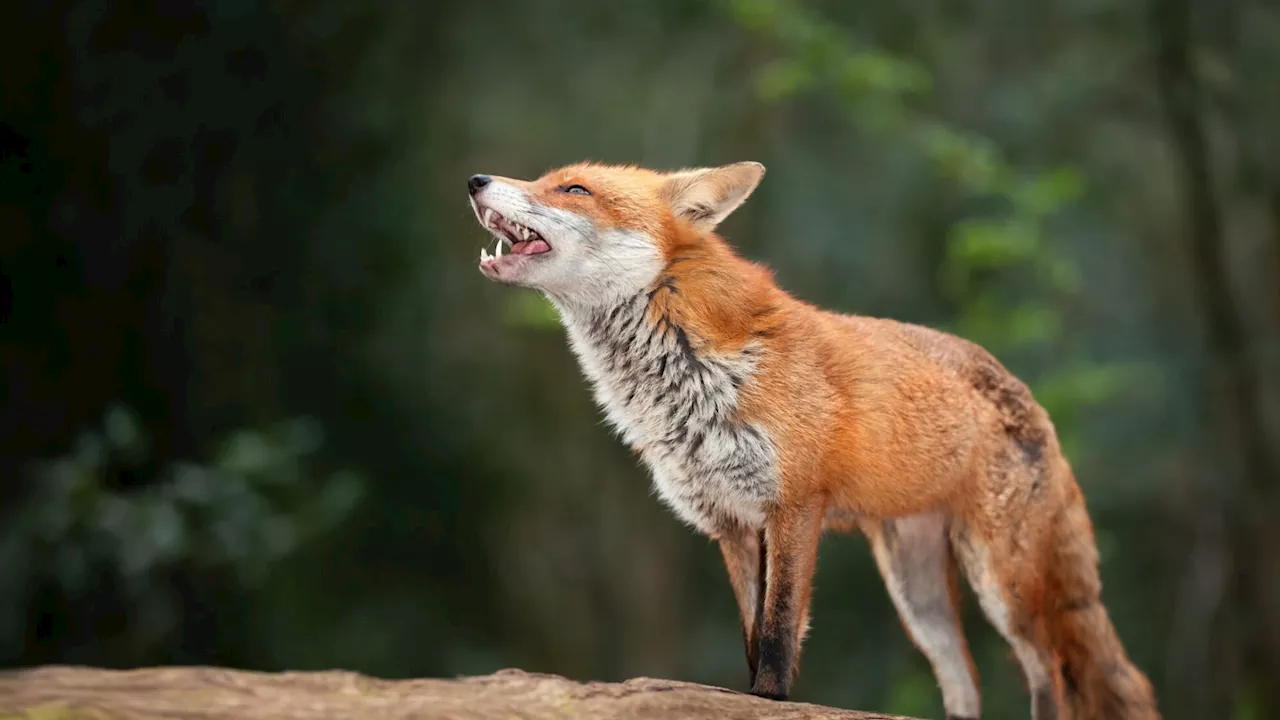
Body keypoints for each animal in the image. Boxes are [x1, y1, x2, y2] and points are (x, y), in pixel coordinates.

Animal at [465, 162, 1157, 717]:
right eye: (546, 177)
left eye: (574, 188)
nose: (475, 179)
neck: (693, 372)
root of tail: (1031, 401)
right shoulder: (730, 523)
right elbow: (751, 631)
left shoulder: (795, 506)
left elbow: (778, 629)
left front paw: (771, 698)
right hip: (918, 596)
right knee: (965, 681)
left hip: (1002, 585)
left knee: (1051, 676)